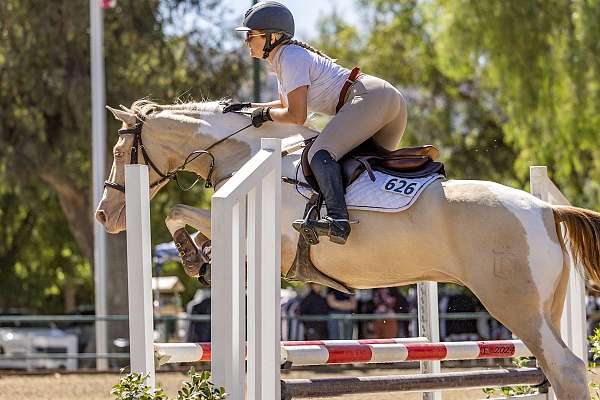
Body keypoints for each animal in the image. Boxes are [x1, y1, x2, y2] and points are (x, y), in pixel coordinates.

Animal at [95, 98, 600, 398]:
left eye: (120, 155)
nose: (105, 215)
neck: (247, 154)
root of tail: (546, 209)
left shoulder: (269, 245)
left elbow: (178, 212)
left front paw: (191, 256)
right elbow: (197, 229)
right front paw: (199, 258)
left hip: (515, 305)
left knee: (568, 368)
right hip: (546, 308)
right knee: (554, 369)